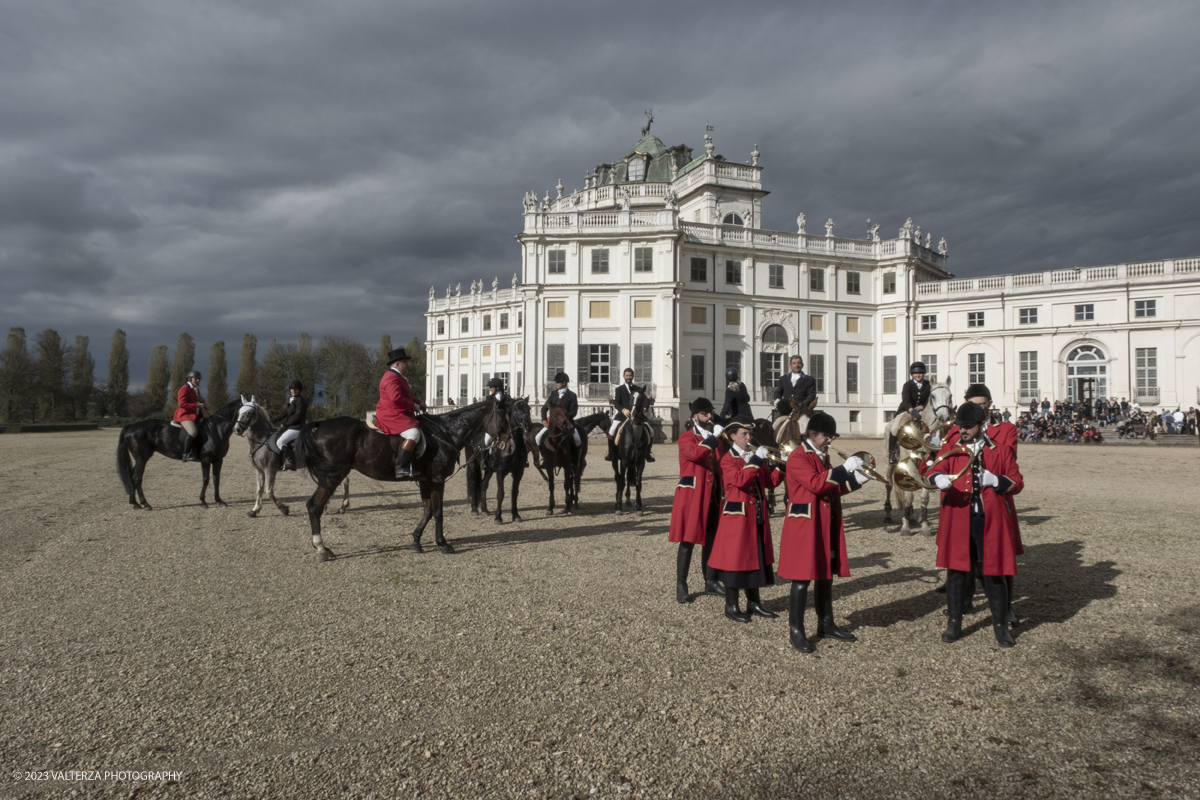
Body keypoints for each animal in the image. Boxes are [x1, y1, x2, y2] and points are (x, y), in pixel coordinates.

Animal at [298, 398, 511, 561]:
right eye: (502, 417)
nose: (509, 447)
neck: (445, 432)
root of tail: (321, 425)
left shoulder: (425, 481)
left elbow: (428, 511)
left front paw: (416, 541)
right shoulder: (437, 480)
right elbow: (438, 512)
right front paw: (442, 543)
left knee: (315, 505)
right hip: (332, 477)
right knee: (314, 506)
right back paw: (322, 548)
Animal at [883, 381, 955, 537]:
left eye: (950, 396)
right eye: (933, 396)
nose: (944, 418)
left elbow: (924, 498)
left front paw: (925, 527)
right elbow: (908, 497)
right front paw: (905, 528)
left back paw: (910, 516)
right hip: (889, 463)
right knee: (889, 485)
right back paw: (888, 514)